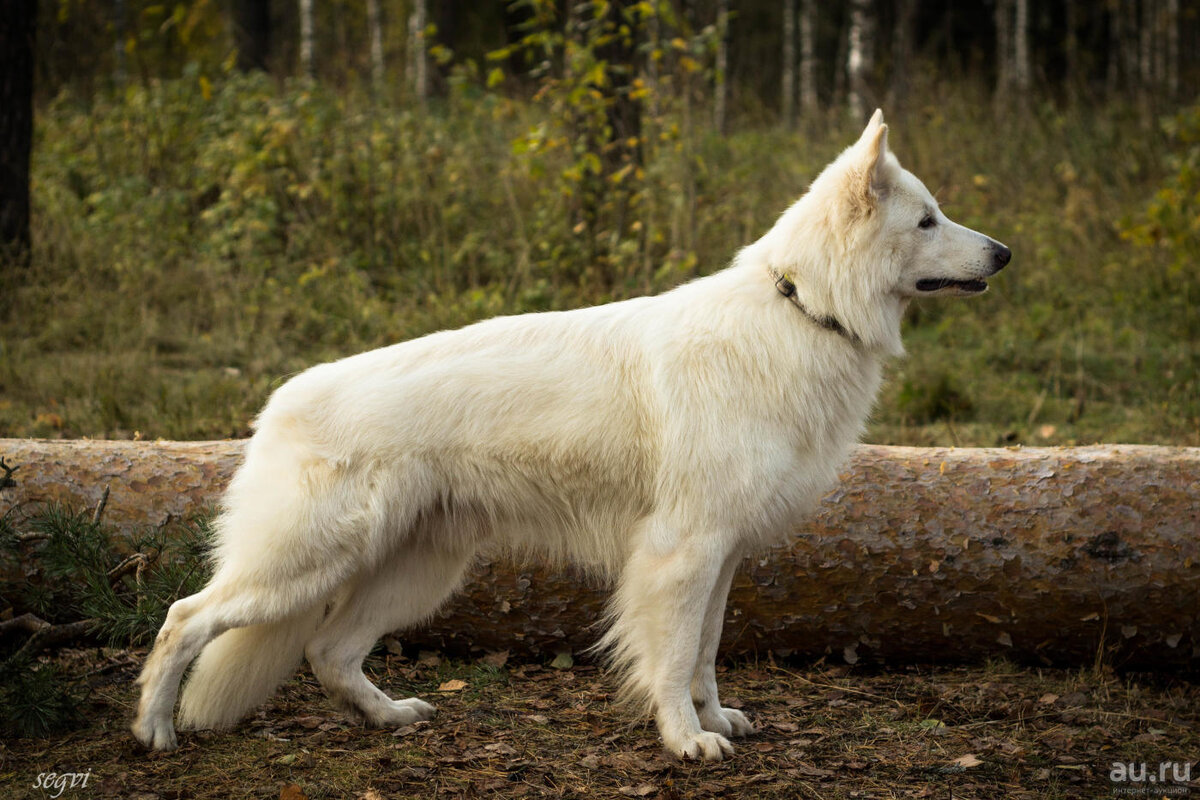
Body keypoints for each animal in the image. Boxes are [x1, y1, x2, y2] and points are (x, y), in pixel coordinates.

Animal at [133, 109, 1012, 762]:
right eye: (927, 219)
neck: (805, 310)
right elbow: (672, 656)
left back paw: (388, 717)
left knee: (328, 650)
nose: (1005, 254)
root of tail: (278, 401)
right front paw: (684, 740)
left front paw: (711, 718)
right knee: (185, 616)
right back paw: (154, 731)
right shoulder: (681, 552)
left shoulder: (721, 555)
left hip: (416, 571)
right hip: (306, 561)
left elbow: (706, 650)